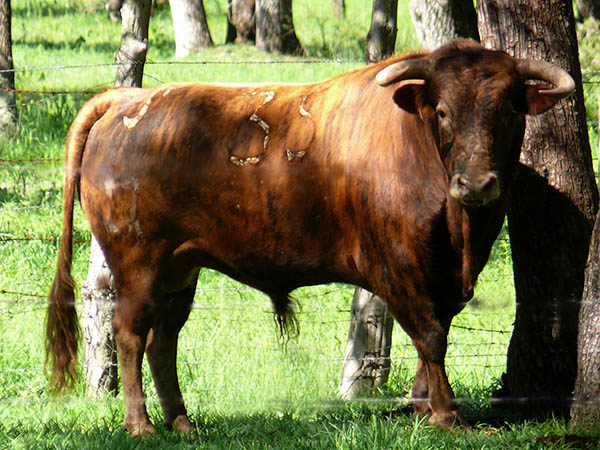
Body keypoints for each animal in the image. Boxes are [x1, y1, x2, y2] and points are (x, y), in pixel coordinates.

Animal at [45, 41, 572, 436]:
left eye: (509, 111)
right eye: (442, 112)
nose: (477, 184)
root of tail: (125, 101)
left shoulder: (444, 276)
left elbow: (433, 336)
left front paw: (422, 406)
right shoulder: (400, 267)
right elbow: (430, 336)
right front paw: (445, 414)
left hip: (180, 269)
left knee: (163, 340)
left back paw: (182, 422)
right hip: (138, 264)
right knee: (129, 334)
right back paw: (141, 425)